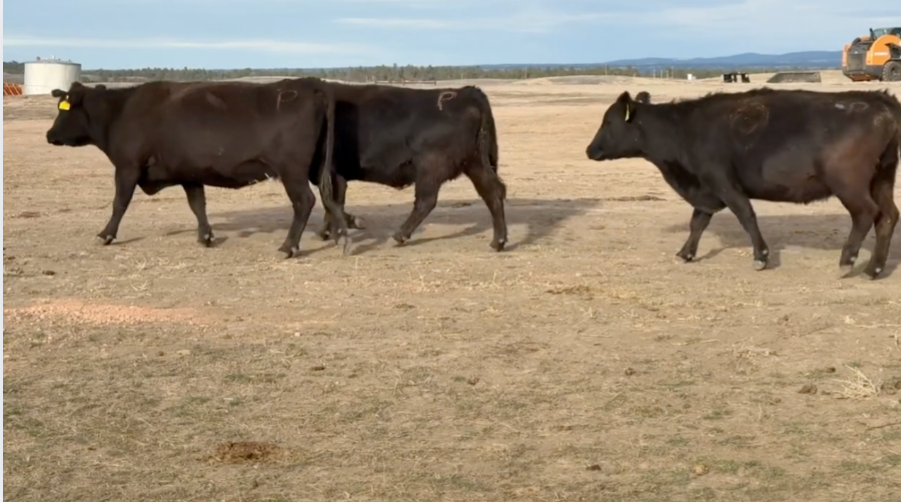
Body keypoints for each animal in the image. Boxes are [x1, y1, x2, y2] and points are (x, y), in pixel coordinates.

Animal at [45, 79, 350, 258]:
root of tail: (308, 83)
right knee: (332, 195)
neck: (121, 111)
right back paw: (339, 234)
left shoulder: (127, 167)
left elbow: (119, 202)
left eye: (63, 109)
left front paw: (105, 235)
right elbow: (197, 205)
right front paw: (205, 236)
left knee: (305, 201)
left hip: (292, 171)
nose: (49, 135)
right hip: (318, 167)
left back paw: (289, 246)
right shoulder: (189, 172)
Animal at [309, 83, 508, 252]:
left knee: (425, 201)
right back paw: (498, 242)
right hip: (475, 164)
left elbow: (331, 202)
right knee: (492, 191)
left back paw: (399, 235)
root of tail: (466, 93)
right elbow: (333, 202)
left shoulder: (331, 174)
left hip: (431, 170)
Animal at [585, 87, 901, 279]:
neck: (682, 130)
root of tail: (879, 100)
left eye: (608, 122)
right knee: (888, 216)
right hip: (882, 179)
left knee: (866, 214)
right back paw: (873, 269)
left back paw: (847, 262)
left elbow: (746, 216)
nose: (590, 150)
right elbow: (698, 222)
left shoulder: (724, 184)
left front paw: (761, 256)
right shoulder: (707, 190)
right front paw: (685, 253)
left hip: (849, 184)